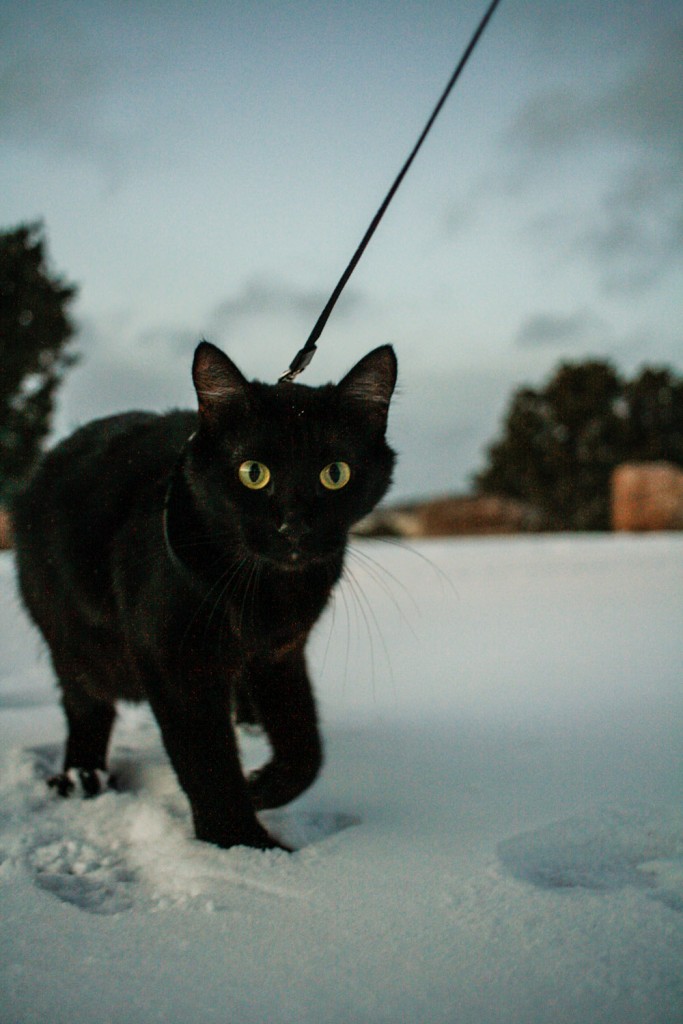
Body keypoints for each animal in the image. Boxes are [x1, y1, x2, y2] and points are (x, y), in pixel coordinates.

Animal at [13, 342, 397, 847]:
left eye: (336, 473)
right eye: (253, 473)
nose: (293, 525)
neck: (268, 589)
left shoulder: (278, 653)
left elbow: (305, 746)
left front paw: (262, 789)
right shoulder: (176, 661)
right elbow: (208, 761)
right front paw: (243, 844)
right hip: (76, 644)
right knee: (86, 706)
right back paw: (82, 778)